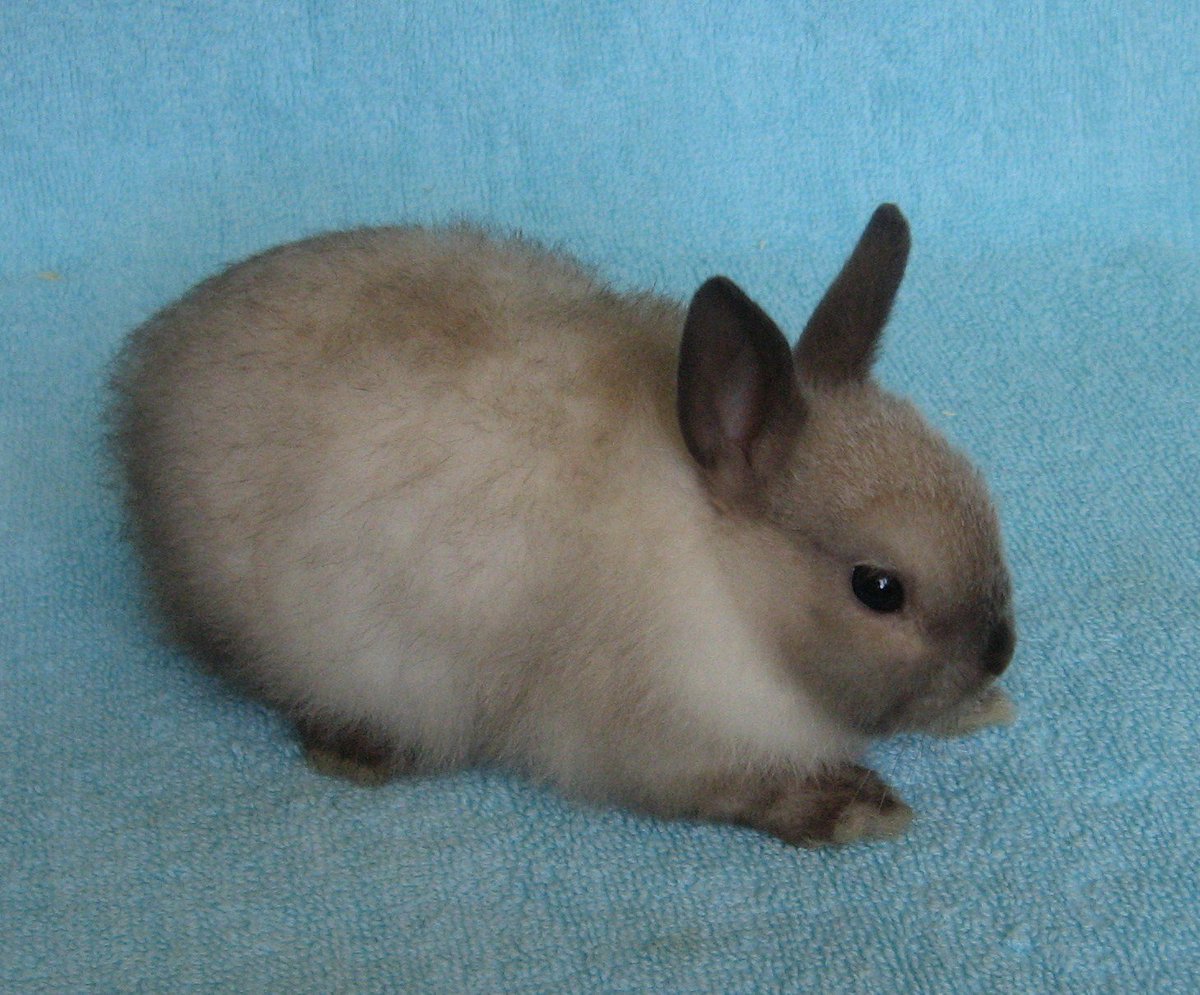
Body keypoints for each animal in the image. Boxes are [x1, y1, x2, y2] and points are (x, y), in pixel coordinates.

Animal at [110, 204, 1015, 847]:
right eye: (879, 588)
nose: (999, 653)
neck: (727, 574)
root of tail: (148, 362)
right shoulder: (653, 747)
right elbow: (743, 789)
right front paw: (856, 807)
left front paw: (984, 710)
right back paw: (360, 751)